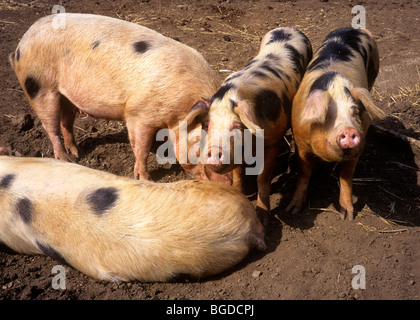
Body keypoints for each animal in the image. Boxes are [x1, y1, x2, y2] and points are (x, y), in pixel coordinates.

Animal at [8, 13, 225, 182]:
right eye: (207, 152)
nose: (227, 184)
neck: (179, 111)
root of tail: (22, 42)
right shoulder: (138, 115)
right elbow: (141, 149)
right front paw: (145, 179)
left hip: (65, 96)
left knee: (66, 122)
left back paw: (76, 153)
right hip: (39, 86)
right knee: (51, 127)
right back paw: (66, 160)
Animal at [183, 27, 312, 224]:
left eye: (237, 125)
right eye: (206, 125)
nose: (215, 150)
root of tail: (289, 29)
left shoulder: (271, 142)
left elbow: (263, 178)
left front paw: (264, 219)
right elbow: (237, 176)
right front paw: (238, 194)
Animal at [288, 27, 386, 220]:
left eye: (355, 111)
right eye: (327, 114)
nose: (348, 130)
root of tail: (355, 28)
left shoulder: (358, 148)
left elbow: (346, 177)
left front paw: (348, 216)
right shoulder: (301, 143)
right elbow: (304, 172)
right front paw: (293, 210)